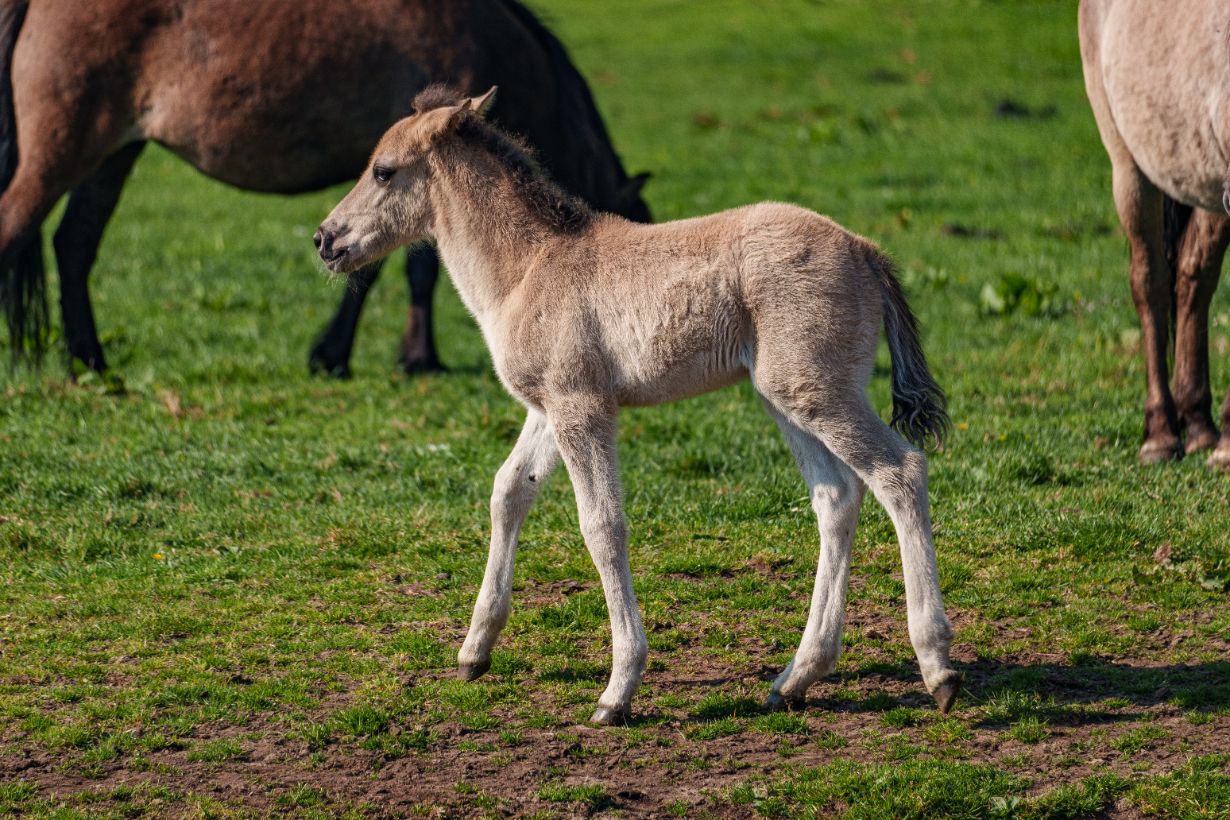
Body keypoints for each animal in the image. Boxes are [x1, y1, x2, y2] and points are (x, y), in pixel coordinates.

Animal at [0, 0, 649, 377]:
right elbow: (405, 270)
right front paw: (395, 357)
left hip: (113, 153)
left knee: (74, 245)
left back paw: (91, 362)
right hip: (63, 150)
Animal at [317, 86, 960, 724]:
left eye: (383, 170)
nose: (325, 238)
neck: (527, 268)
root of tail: (865, 249)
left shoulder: (581, 407)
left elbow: (601, 525)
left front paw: (618, 689)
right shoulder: (547, 409)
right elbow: (509, 492)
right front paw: (475, 651)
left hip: (818, 391)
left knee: (899, 472)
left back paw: (937, 666)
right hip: (787, 397)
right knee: (836, 496)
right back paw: (796, 677)